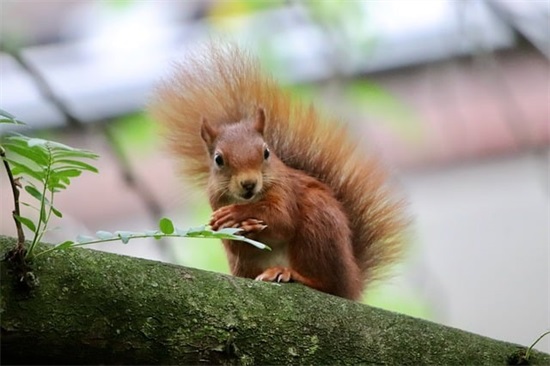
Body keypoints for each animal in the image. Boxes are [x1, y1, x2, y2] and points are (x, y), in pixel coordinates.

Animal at [149, 43, 408, 300]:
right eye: (218, 159)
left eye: (266, 152)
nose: (249, 184)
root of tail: (352, 283)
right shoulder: (216, 200)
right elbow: (233, 242)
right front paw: (232, 223)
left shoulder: (286, 189)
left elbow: (282, 219)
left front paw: (242, 215)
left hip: (317, 228)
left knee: (325, 283)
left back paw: (290, 274)